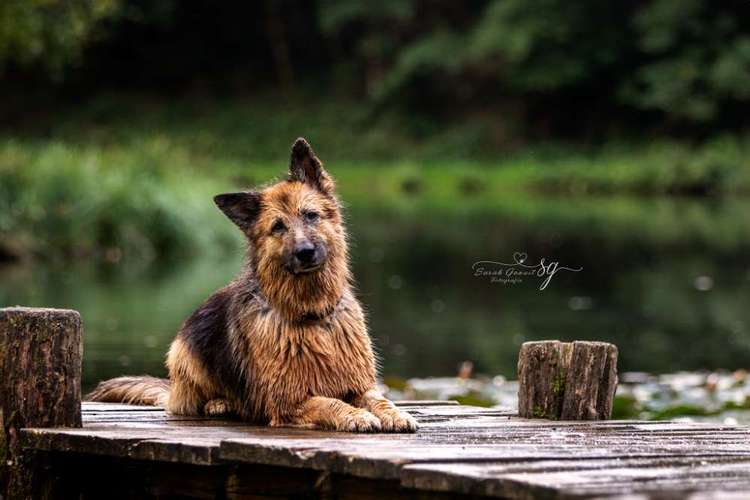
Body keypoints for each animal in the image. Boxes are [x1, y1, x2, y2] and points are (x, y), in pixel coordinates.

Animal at [89, 138, 418, 434]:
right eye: (278, 227)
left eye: (311, 215)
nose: (305, 252)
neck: (312, 315)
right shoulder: (289, 402)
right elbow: (329, 403)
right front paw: (356, 415)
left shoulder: (359, 386)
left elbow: (379, 399)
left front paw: (394, 414)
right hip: (184, 355)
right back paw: (220, 403)